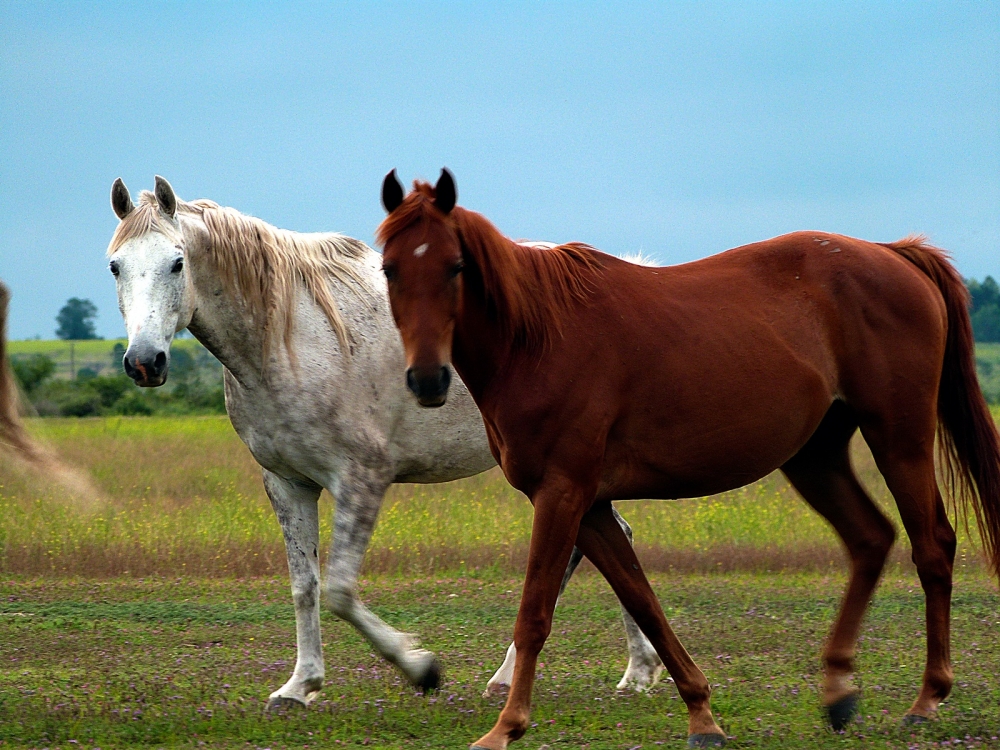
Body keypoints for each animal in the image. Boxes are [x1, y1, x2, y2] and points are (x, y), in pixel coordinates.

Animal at [107, 178, 664, 712]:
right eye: (114, 266)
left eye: (177, 262)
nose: (144, 361)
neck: (291, 338)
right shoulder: (287, 483)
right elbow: (305, 585)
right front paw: (299, 686)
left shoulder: (362, 478)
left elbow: (339, 588)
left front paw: (421, 668)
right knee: (609, 540)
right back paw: (612, 672)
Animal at [376, 172, 1000, 750]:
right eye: (390, 269)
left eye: (456, 267)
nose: (427, 379)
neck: (537, 337)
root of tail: (893, 253)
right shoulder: (591, 505)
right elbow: (644, 601)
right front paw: (702, 715)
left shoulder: (562, 493)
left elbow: (535, 613)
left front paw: (506, 727)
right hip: (814, 457)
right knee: (870, 539)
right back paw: (839, 691)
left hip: (899, 437)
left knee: (932, 547)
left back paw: (926, 700)